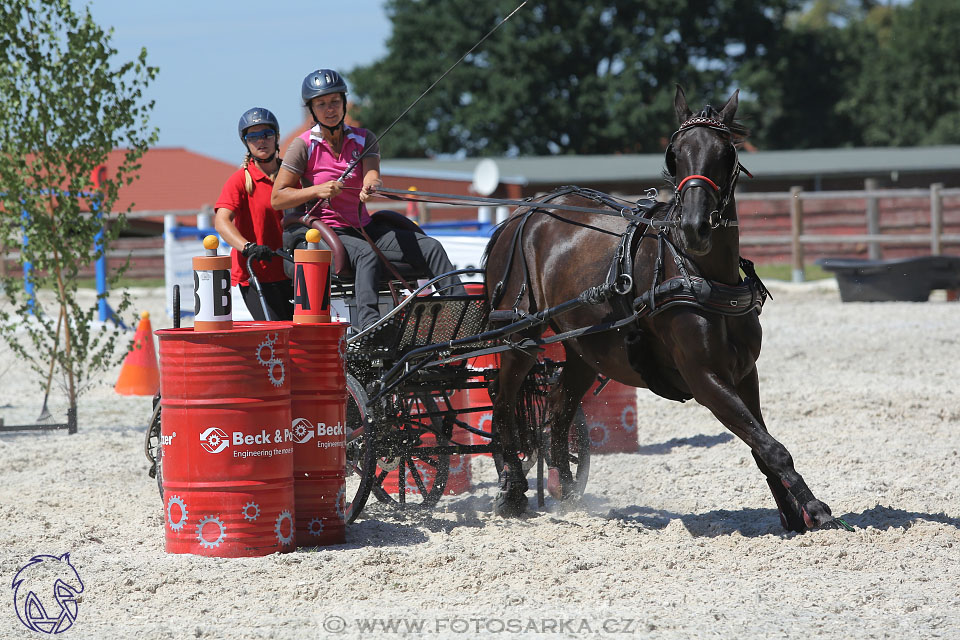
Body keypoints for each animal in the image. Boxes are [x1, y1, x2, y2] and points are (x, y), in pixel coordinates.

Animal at [488, 86, 848, 536]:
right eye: (674, 154)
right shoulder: (704, 378)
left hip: (584, 352)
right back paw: (512, 492)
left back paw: (569, 498)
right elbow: (770, 446)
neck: (702, 275)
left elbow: (761, 445)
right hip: (519, 336)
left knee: (557, 414)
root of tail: (521, 214)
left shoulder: (745, 373)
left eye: (726, 152)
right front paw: (815, 508)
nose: (694, 227)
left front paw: (794, 514)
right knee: (504, 403)